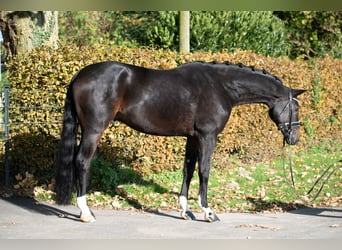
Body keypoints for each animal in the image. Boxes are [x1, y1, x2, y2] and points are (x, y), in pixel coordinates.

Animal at [54, 60, 306, 223]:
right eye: (295, 108)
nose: (294, 138)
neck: (220, 86)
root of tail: (80, 75)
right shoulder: (207, 136)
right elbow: (204, 171)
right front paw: (208, 212)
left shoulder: (192, 137)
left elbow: (188, 170)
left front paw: (186, 210)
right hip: (93, 130)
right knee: (82, 161)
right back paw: (86, 212)